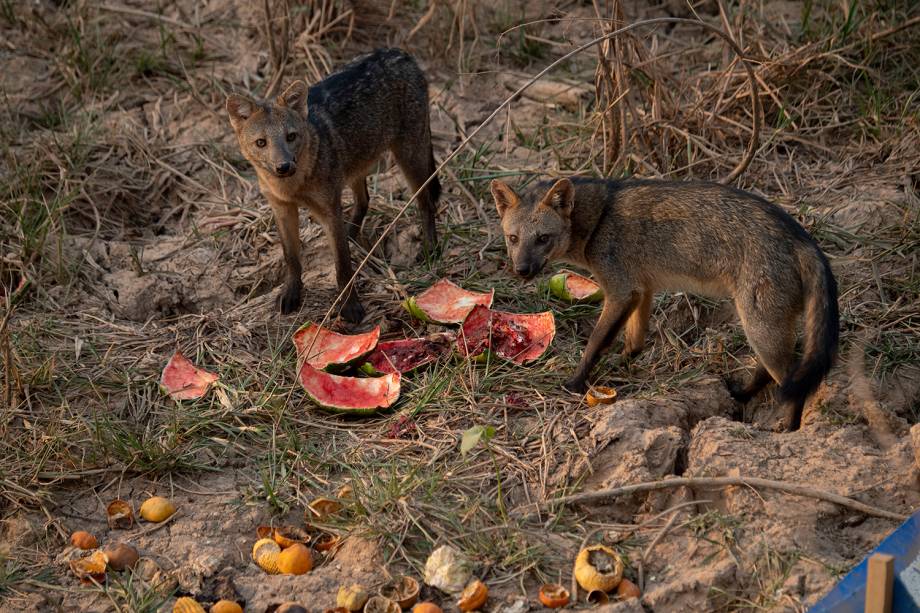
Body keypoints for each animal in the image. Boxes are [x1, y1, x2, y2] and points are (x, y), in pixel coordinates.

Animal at [230, 49, 446, 320]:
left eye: (291, 137)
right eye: (261, 143)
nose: (284, 166)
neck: (292, 186)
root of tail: (400, 53)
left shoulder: (328, 210)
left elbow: (342, 266)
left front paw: (350, 306)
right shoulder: (282, 208)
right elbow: (292, 258)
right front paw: (291, 293)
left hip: (409, 158)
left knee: (426, 203)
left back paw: (431, 249)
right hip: (357, 168)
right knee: (364, 201)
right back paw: (352, 236)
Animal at [492, 177, 836, 430]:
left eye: (542, 238)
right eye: (513, 239)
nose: (522, 270)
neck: (600, 218)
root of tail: (801, 237)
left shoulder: (621, 291)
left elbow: (595, 343)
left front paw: (575, 382)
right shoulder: (642, 289)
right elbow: (634, 340)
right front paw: (624, 361)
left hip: (759, 326)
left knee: (793, 381)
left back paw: (789, 430)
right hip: (762, 328)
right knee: (774, 371)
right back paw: (744, 395)